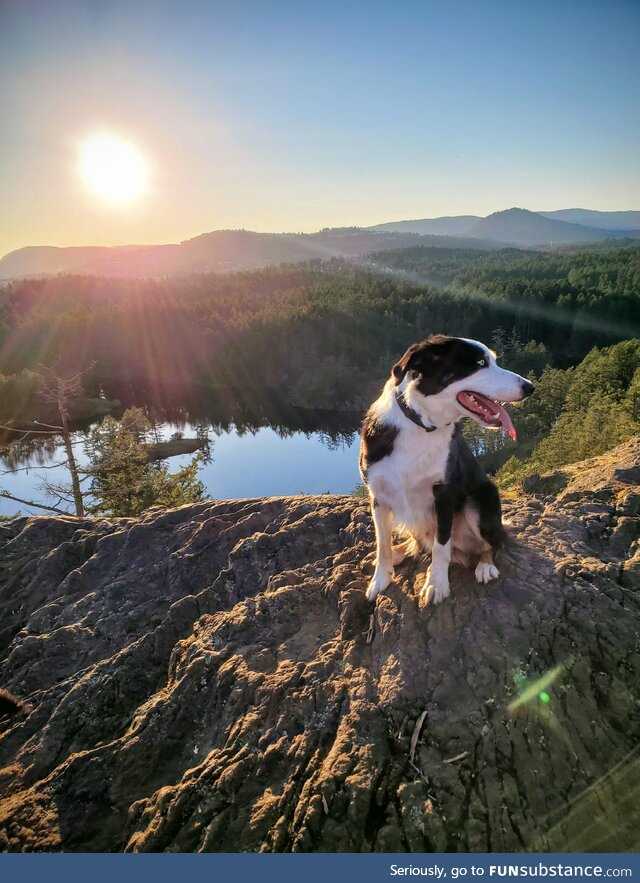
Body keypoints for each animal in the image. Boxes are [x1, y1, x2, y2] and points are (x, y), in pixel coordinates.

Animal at [360, 336, 536, 608]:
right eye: (480, 363)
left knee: (492, 544)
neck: (420, 425)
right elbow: (383, 543)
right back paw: (402, 551)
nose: (529, 387)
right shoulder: (378, 496)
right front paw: (381, 578)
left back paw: (485, 566)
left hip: (481, 501)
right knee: (416, 541)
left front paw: (436, 584)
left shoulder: (444, 494)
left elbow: (441, 546)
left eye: (493, 360)